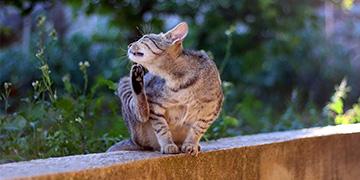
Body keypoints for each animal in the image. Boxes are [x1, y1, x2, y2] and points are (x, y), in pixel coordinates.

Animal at [107, 22, 224, 155]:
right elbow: (162, 128)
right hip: (124, 83)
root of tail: (133, 140)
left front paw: (191, 144)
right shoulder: (155, 106)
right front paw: (168, 145)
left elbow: (197, 129)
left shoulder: (211, 110)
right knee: (142, 113)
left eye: (145, 38)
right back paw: (137, 79)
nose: (129, 44)